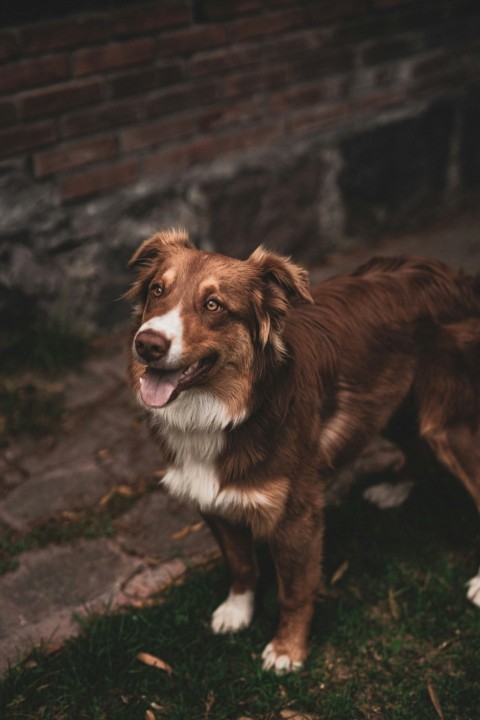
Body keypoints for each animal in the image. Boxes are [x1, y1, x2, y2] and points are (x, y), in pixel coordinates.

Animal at [126, 231, 480, 676]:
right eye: (158, 289)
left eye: (213, 305)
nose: (147, 344)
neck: (229, 411)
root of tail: (456, 275)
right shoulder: (209, 498)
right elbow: (241, 564)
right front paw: (237, 610)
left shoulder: (296, 516)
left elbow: (293, 590)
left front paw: (287, 649)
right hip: (392, 406)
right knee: (417, 446)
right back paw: (394, 490)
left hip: (449, 425)